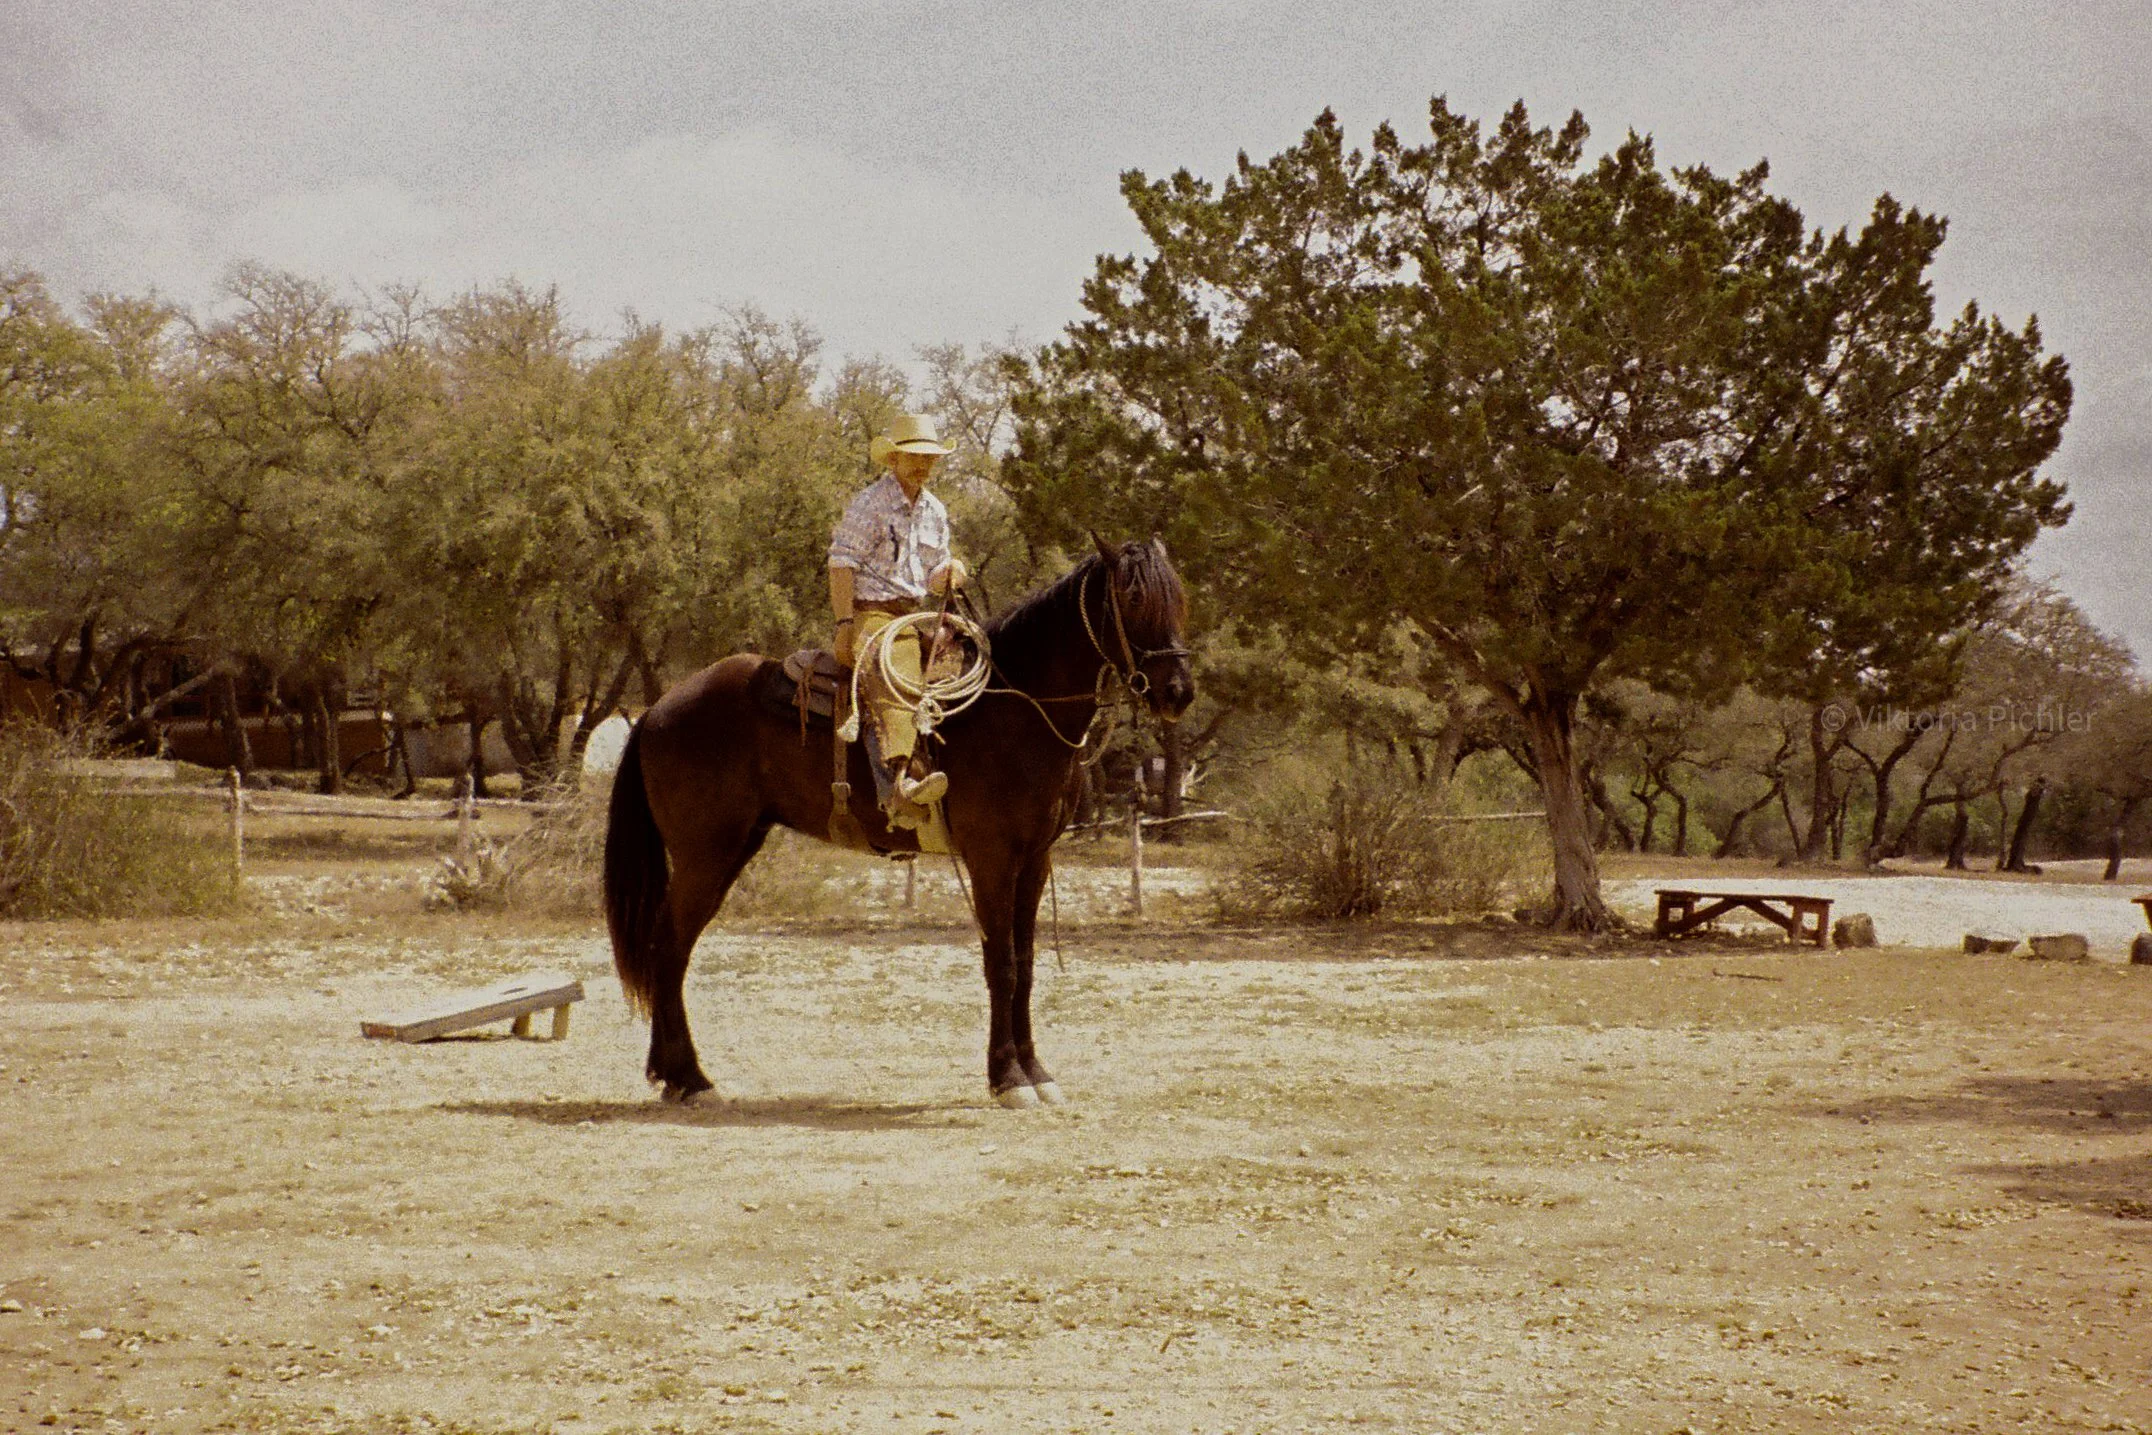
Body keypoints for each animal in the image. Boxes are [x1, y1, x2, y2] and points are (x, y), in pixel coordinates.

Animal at [602, 536, 1195, 1107]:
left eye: (1179, 598)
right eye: (1134, 598)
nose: (1178, 692)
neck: (1018, 711)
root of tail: (657, 710)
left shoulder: (1035, 859)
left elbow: (1025, 964)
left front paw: (1037, 1073)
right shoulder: (991, 858)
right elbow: (1000, 963)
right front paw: (1007, 1078)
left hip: (732, 848)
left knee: (670, 951)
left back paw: (673, 1076)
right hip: (705, 855)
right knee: (668, 948)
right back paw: (691, 1079)